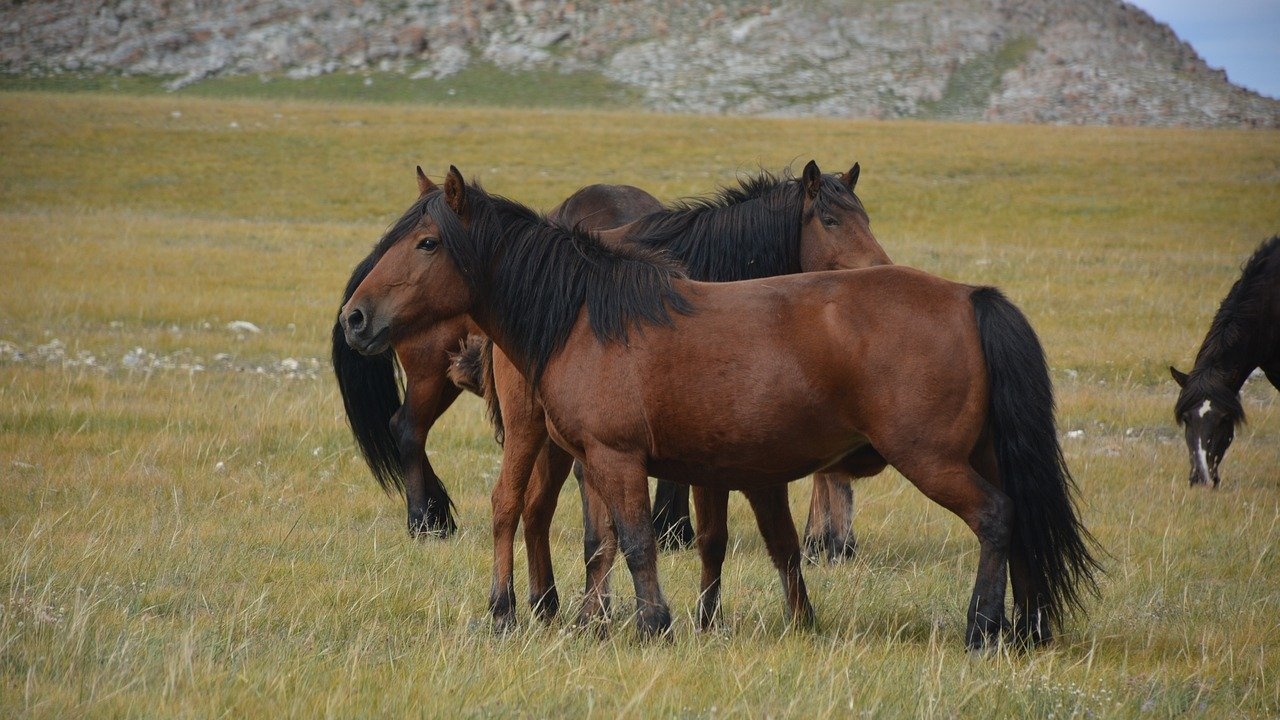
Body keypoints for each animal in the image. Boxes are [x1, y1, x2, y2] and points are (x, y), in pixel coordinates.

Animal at [330, 170, 660, 535]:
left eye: (428, 243)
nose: (354, 317)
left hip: (443, 379)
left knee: (404, 424)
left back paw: (437, 513)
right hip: (428, 373)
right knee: (408, 428)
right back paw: (423, 520)